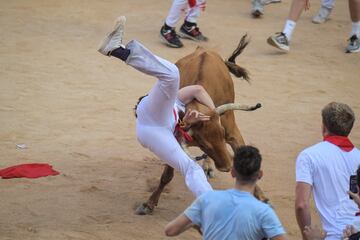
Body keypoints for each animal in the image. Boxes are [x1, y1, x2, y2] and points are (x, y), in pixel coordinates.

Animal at [135, 34, 264, 216]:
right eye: (203, 144)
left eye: (222, 134)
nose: (226, 166)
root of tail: (203, 49)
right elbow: (166, 176)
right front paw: (149, 203)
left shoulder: (231, 132)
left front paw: (262, 196)